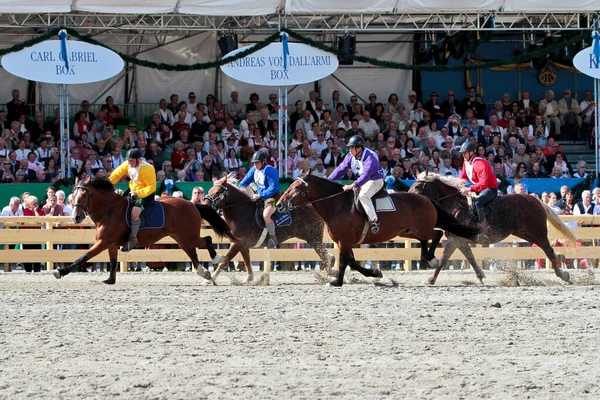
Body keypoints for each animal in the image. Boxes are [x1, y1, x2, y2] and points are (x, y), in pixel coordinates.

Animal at [51, 177, 236, 284]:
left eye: (83, 196)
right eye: (73, 196)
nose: (75, 217)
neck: (109, 210)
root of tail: (192, 204)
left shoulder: (103, 242)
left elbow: (83, 257)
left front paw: (60, 271)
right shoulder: (111, 245)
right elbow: (112, 262)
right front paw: (110, 280)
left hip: (188, 236)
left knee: (206, 240)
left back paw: (217, 259)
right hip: (181, 238)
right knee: (193, 253)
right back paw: (204, 273)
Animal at [202, 175, 332, 282]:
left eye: (218, 192)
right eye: (210, 191)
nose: (205, 206)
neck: (241, 211)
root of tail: (313, 205)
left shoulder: (237, 243)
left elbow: (225, 260)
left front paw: (210, 279)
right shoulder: (242, 245)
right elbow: (247, 261)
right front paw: (249, 278)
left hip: (314, 239)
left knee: (325, 257)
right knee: (328, 256)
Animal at [276, 176, 482, 288]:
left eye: (296, 188)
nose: (278, 205)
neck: (338, 205)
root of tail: (426, 199)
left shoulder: (344, 241)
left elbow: (344, 262)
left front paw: (337, 282)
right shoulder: (346, 242)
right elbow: (352, 262)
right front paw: (374, 272)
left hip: (420, 229)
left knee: (436, 235)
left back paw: (432, 259)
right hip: (409, 231)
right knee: (427, 239)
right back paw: (427, 258)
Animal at [410, 173, 576, 286]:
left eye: (418, 186)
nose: (410, 198)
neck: (455, 206)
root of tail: (536, 200)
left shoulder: (454, 239)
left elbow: (444, 259)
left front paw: (430, 279)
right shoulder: (458, 240)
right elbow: (470, 257)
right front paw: (480, 276)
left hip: (537, 231)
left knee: (548, 250)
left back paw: (563, 275)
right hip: (525, 233)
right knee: (548, 250)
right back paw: (561, 260)